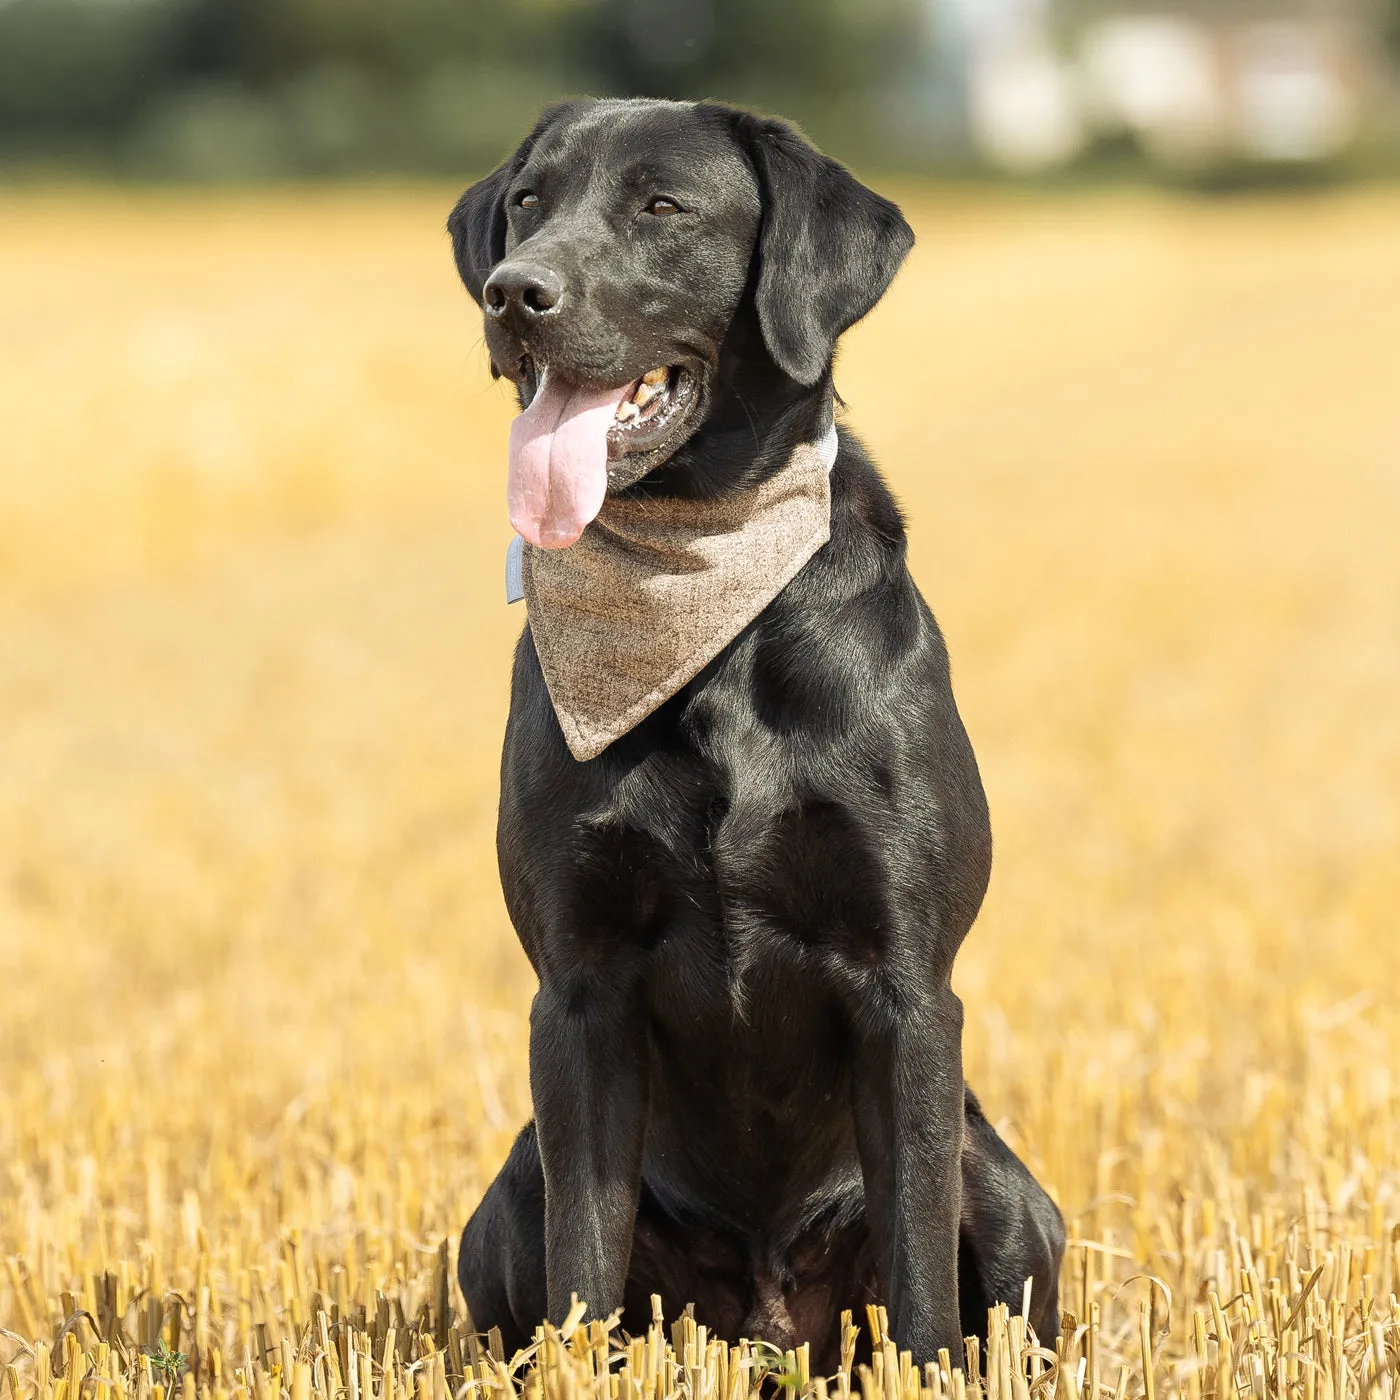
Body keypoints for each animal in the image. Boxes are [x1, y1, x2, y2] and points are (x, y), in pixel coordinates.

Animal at [448, 98, 1058, 1366]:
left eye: (661, 205)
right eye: (527, 201)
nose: (514, 294)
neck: (703, 586)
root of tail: (772, 1318)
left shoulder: (906, 989)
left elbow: (919, 1268)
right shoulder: (575, 992)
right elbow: (583, 1264)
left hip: (1006, 1183)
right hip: (506, 1192)